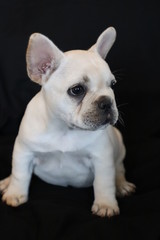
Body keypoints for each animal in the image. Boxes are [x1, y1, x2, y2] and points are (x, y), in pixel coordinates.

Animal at [0, 26, 136, 218]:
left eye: (112, 84)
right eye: (77, 90)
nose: (107, 101)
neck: (64, 129)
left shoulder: (102, 159)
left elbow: (103, 183)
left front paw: (105, 204)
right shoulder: (23, 152)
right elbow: (20, 174)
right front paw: (15, 193)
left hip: (119, 145)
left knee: (119, 168)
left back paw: (122, 185)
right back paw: (7, 182)